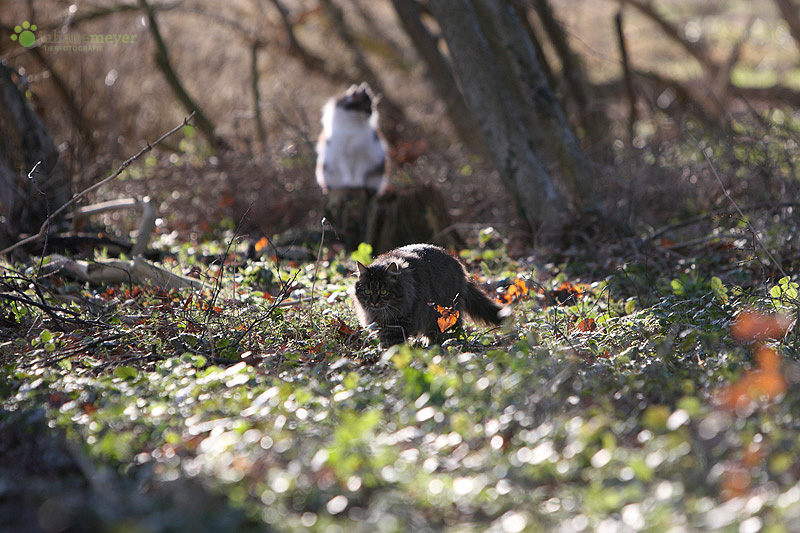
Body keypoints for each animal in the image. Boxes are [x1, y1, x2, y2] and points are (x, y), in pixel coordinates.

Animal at [354, 244, 510, 348]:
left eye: (383, 292)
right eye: (367, 292)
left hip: (447, 312)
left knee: (454, 329)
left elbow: (392, 345)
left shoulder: (399, 323)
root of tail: (459, 264)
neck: (380, 313)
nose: (374, 302)